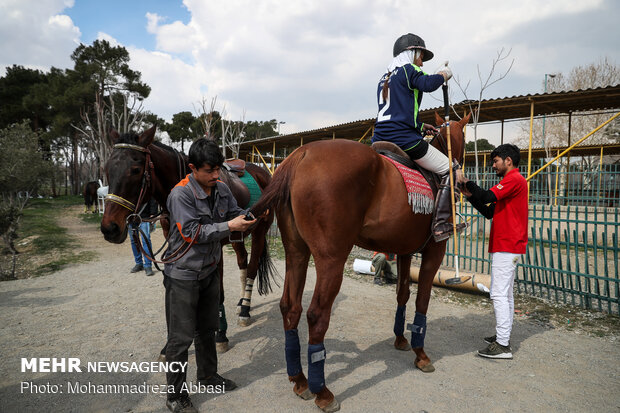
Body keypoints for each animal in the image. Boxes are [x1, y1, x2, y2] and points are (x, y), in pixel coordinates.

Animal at [100, 124, 274, 348]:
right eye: (107, 169)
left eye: (136, 170)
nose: (109, 228)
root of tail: (263, 172)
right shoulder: (176, 247)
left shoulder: (214, 248)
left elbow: (218, 293)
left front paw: (220, 334)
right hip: (238, 234)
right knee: (243, 261)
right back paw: (241, 303)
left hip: (260, 231)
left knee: (252, 267)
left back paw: (245, 309)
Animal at [248, 111, 470, 410]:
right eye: (465, 141)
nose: (464, 179)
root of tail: (301, 154)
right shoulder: (435, 250)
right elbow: (422, 300)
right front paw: (420, 353)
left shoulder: (404, 251)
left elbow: (402, 294)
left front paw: (400, 338)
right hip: (331, 258)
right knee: (316, 315)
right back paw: (322, 392)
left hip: (296, 251)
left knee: (290, 307)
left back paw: (300, 380)